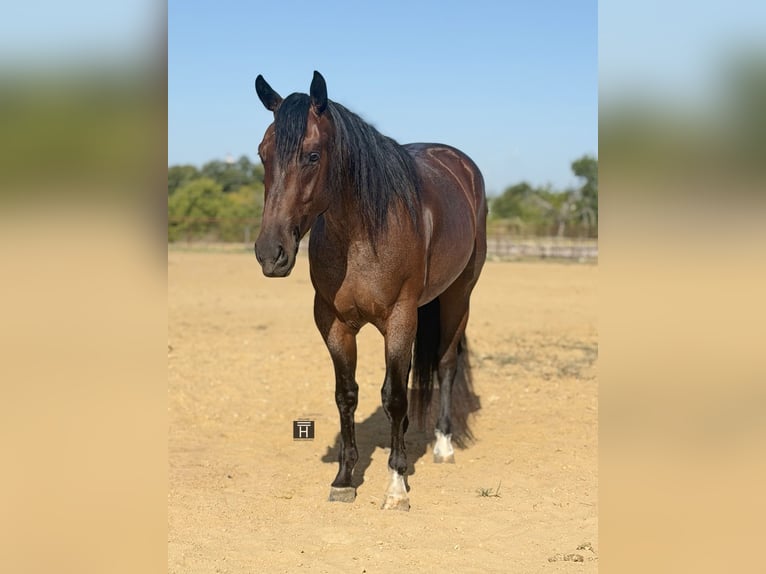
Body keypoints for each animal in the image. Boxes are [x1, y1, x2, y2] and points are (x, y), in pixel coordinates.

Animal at [253, 71, 487, 510]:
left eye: (312, 155)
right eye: (262, 154)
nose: (270, 253)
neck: (361, 235)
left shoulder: (399, 317)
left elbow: (393, 395)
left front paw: (396, 486)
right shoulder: (334, 323)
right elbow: (347, 394)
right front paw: (345, 478)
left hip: (458, 296)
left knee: (447, 364)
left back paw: (443, 445)